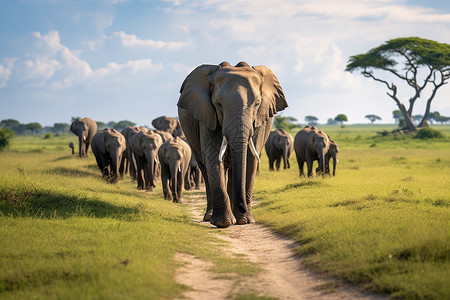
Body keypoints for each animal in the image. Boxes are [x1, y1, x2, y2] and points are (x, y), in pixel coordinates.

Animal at [177, 60, 286, 227]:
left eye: (257, 104)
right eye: (219, 104)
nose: (242, 208)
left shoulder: (260, 119)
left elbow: (250, 158)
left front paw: (245, 220)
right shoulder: (207, 115)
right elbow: (213, 157)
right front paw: (223, 223)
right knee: (206, 168)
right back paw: (211, 217)